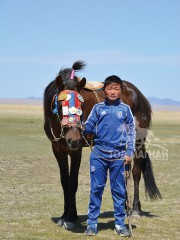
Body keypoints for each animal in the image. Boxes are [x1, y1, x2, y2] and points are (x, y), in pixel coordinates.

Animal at [43, 61, 162, 230]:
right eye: (60, 104)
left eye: (82, 105)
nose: (73, 139)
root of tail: (139, 94)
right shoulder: (58, 149)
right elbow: (64, 181)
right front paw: (64, 216)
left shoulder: (76, 150)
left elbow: (72, 182)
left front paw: (71, 217)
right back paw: (124, 207)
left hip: (138, 141)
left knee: (136, 172)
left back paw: (135, 209)